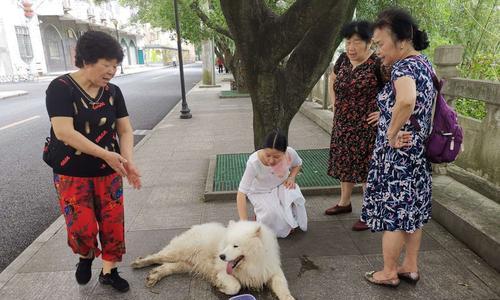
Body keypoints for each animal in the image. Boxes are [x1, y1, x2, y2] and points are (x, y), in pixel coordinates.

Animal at [130, 219, 292, 298]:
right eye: (226, 244)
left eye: (235, 246)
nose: (221, 256)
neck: (252, 262)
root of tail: (197, 226)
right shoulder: (221, 270)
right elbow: (235, 286)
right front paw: (220, 285)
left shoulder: (270, 270)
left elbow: (282, 286)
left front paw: (289, 298)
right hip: (179, 251)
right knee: (157, 256)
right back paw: (139, 263)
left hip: (185, 264)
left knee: (167, 267)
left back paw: (154, 276)